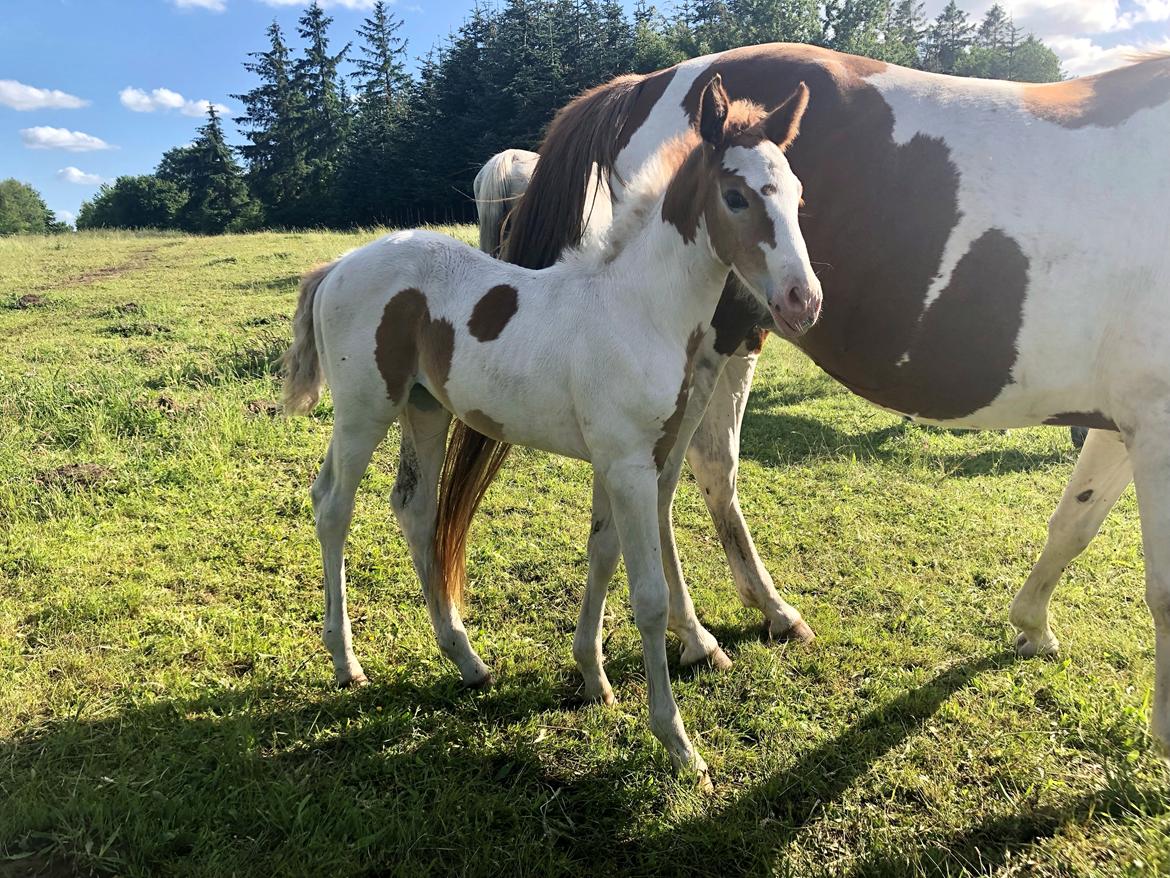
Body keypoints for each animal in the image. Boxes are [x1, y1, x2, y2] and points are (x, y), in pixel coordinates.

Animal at [280, 79, 823, 786]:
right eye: (736, 195)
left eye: (797, 195)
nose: (803, 301)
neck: (638, 308)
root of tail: (338, 266)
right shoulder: (628, 464)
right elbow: (647, 595)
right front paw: (679, 744)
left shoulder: (627, 461)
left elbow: (602, 556)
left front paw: (593, 678)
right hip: (363, 410)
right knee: (333, 508)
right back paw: (347, 663)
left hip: (426, 409)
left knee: (416, 510)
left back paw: (467, 660)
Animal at [444, 43, 1170, 758]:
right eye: (736, 196)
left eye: (798, 196)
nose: (807, 296)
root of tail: (642, 82)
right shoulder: (1154, 425)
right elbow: (1158, 585)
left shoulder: (1124, 422)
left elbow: (1074, 523)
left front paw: (1033, 626)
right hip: (705, 356)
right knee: (669, 486)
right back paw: (697, 637)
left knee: (705, 476)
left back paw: (754, 617)